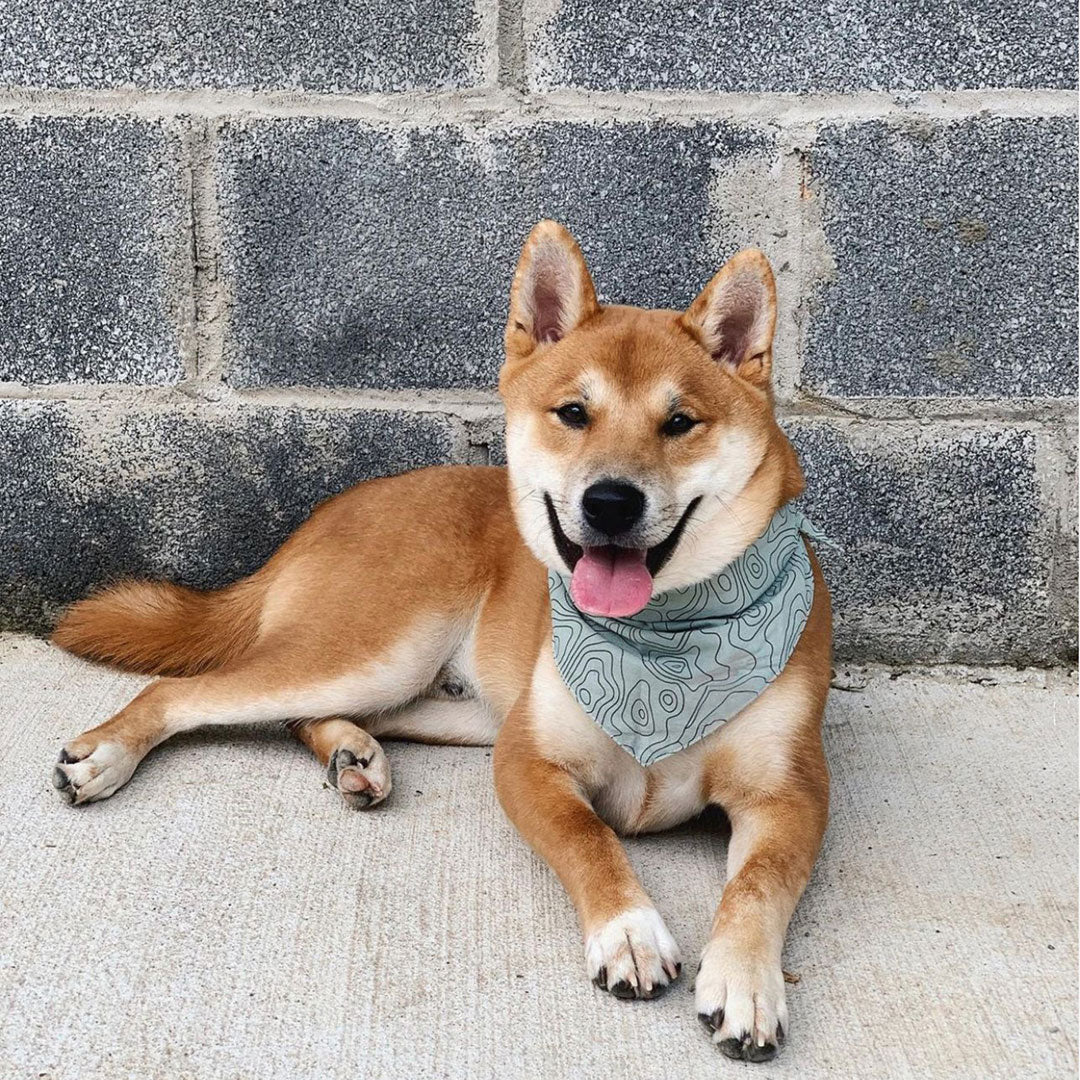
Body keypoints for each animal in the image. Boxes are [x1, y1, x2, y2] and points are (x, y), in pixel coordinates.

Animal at [50, 221, 829, 1062]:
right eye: (574, 413)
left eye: (679, 423)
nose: (611, 502)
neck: (663, 641)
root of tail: (326, 514)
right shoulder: (528, 760)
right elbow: (589, 837)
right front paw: (628, 929)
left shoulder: (791, 794)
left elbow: (760, 882)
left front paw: (746, 981)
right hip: (377, 652)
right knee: (184, 691)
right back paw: (109, 754)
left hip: (445, 702)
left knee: (308, 715)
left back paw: (351, 754)